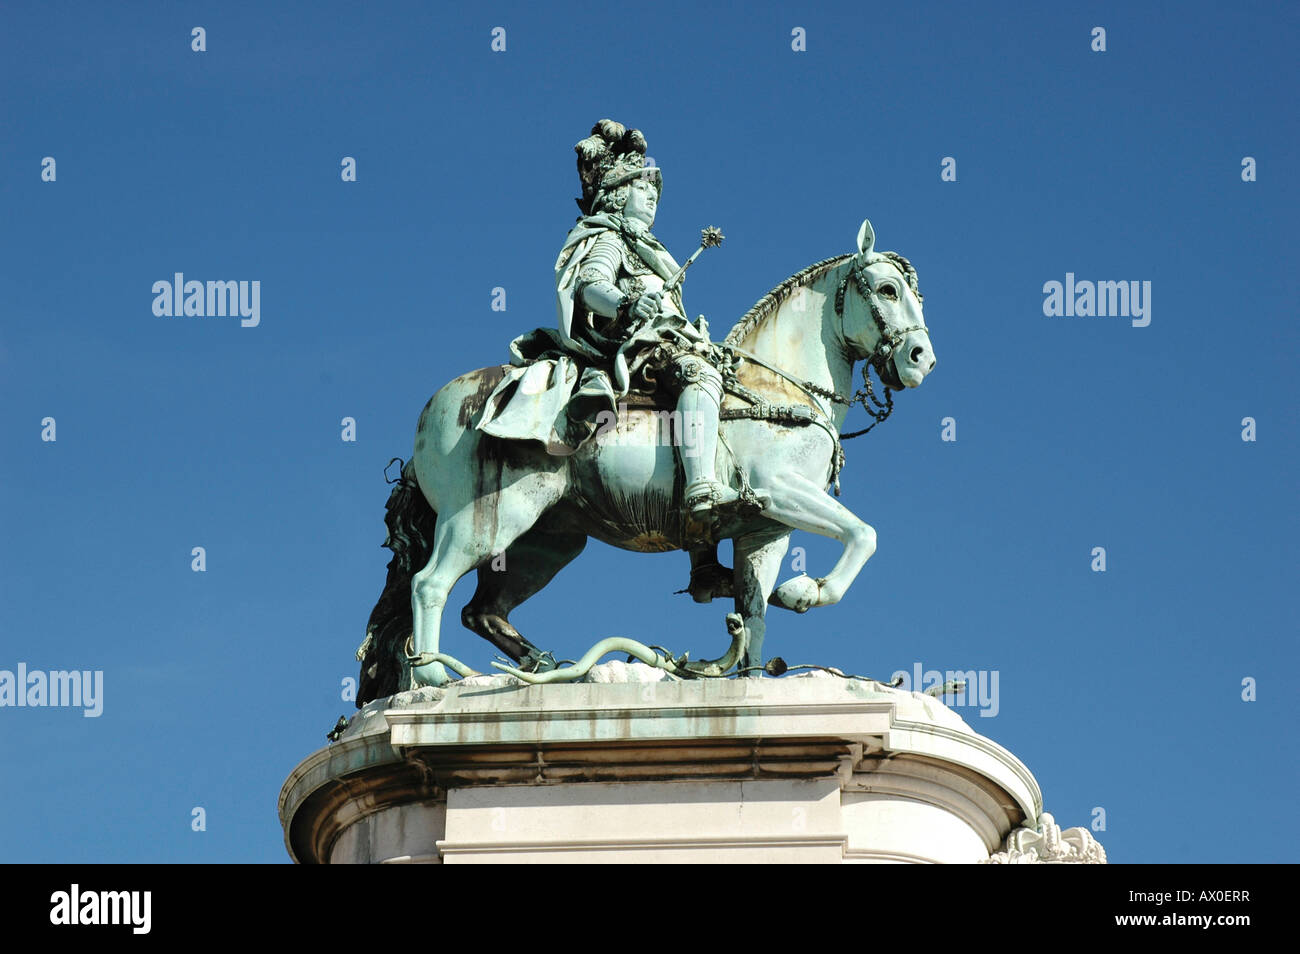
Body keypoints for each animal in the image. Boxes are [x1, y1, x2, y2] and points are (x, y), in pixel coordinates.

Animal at [356, 220, 935, 707]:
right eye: (888, 290)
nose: (921, 360)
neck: (778, 388)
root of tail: (436, 409)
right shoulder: (780, 489)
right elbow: (864, 533)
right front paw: (806, 590)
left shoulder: (764, 531)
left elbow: (754, 613)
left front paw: (752, 675)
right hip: (488, 517)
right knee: (429, 584)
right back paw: (433, 676)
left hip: (546, 542)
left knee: (482, 610)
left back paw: (544, 668)